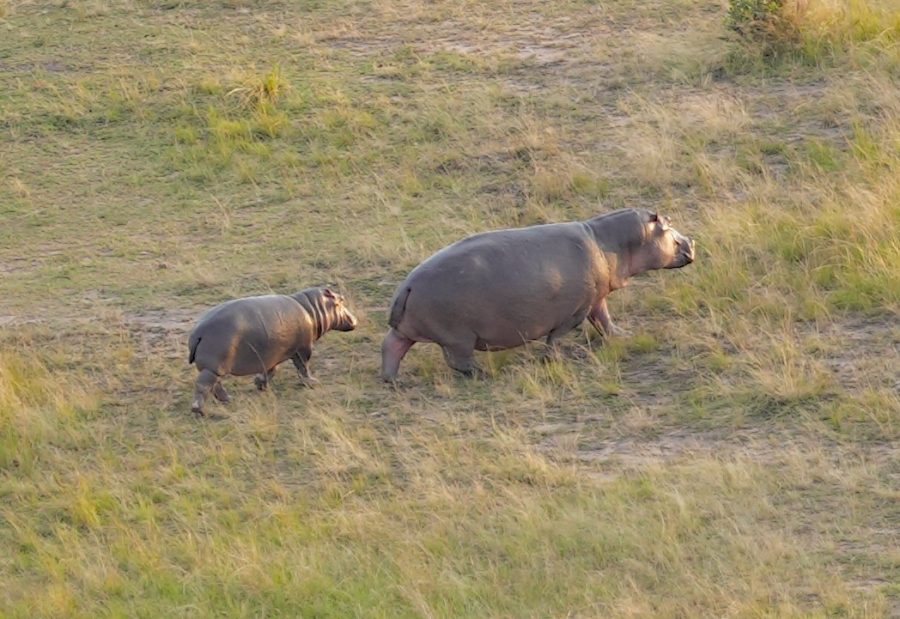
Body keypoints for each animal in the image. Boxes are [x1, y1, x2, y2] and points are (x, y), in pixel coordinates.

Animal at [188, 287, 358, 415]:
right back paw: (199, 410)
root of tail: (198, 332)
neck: (312, 309)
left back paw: (228, 399)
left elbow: (271, 371)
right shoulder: (303, 348)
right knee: (203, 385)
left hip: (215, 368)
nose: (355, 320)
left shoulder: (271, 355)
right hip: (213, 367)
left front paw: (260, 384)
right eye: (340, 300)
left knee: (215, 385)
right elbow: (303, 367)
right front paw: (312, 382)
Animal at [381, 208, 694, 380]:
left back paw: (391, 380)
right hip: (458, 337)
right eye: (666, 224)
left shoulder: (596, 298)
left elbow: (604, 319)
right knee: (458, 361)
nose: (693, 241)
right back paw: (484, 374)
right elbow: (557, 336)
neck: (611, 240)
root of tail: (407, 286)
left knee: (392, 346)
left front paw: (623, 336)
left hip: (410, 332)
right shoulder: (575, 310)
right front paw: (553, 359)